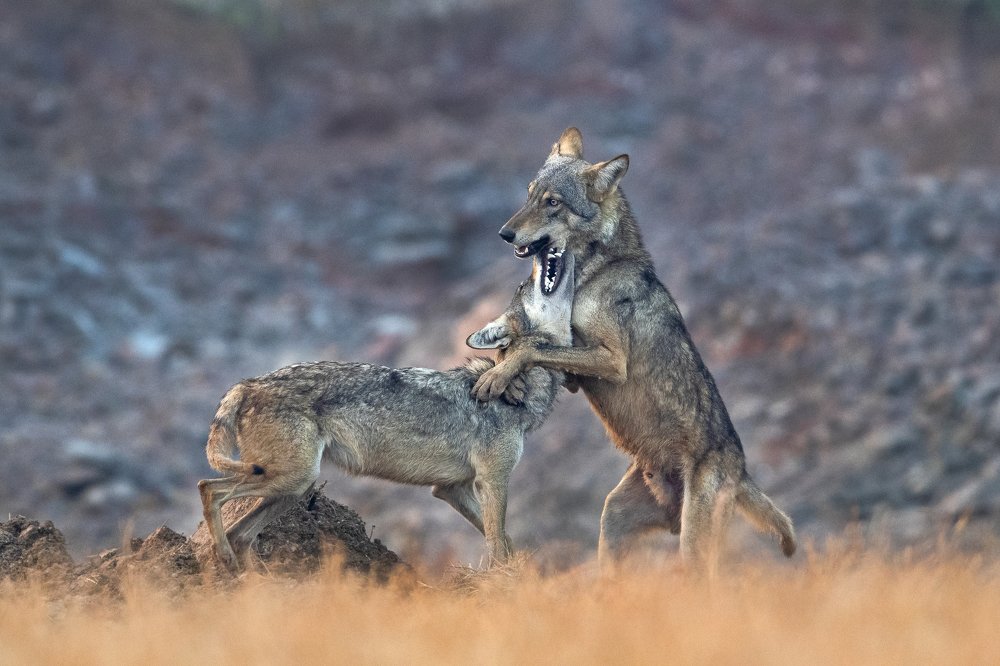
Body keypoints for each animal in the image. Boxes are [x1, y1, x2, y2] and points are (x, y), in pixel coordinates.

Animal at [198, 251, 575, 573]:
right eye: (526, 291)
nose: (534, 265)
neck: (516, 394)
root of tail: (248, 384)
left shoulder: (450, 488)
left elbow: (504, 540)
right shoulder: (492, 480)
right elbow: (497, 544)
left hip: (294, 488)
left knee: (240, 534)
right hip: (292, 477)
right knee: (209, 489)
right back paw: (224, 561)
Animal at [473, 127, 795, 572]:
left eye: (553, 203)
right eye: (530, 194)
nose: (504, 233)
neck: (592, 274)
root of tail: (743, 471)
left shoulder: (612, 360)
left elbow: (529, 346)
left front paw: (496, 376)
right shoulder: (577, 369)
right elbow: (529, 343)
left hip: (692, 546)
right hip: (613, 522)